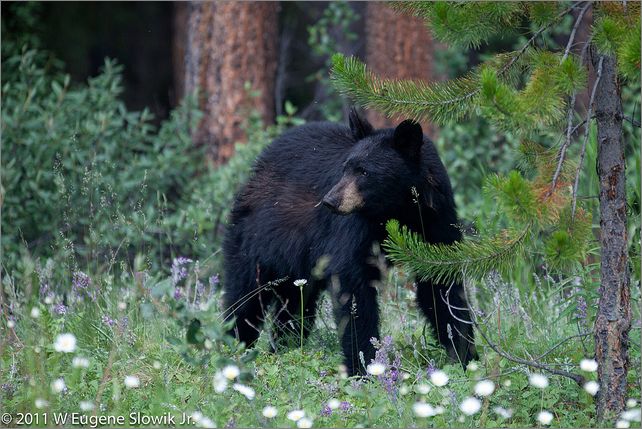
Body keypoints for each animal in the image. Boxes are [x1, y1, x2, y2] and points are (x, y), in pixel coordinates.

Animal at [220, 108, 476, 372]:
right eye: (345, 167)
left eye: (364, 171)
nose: (330, 201)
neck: (399, 210)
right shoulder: (354, 227)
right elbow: (352, 284)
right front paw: (364, 365)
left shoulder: (436, 219)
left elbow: (440, 285)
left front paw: (463, 354)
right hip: (255, 239)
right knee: (245, 299)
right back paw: (234, 348)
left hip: (297, 268)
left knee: (294, 308)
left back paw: (283, 349)